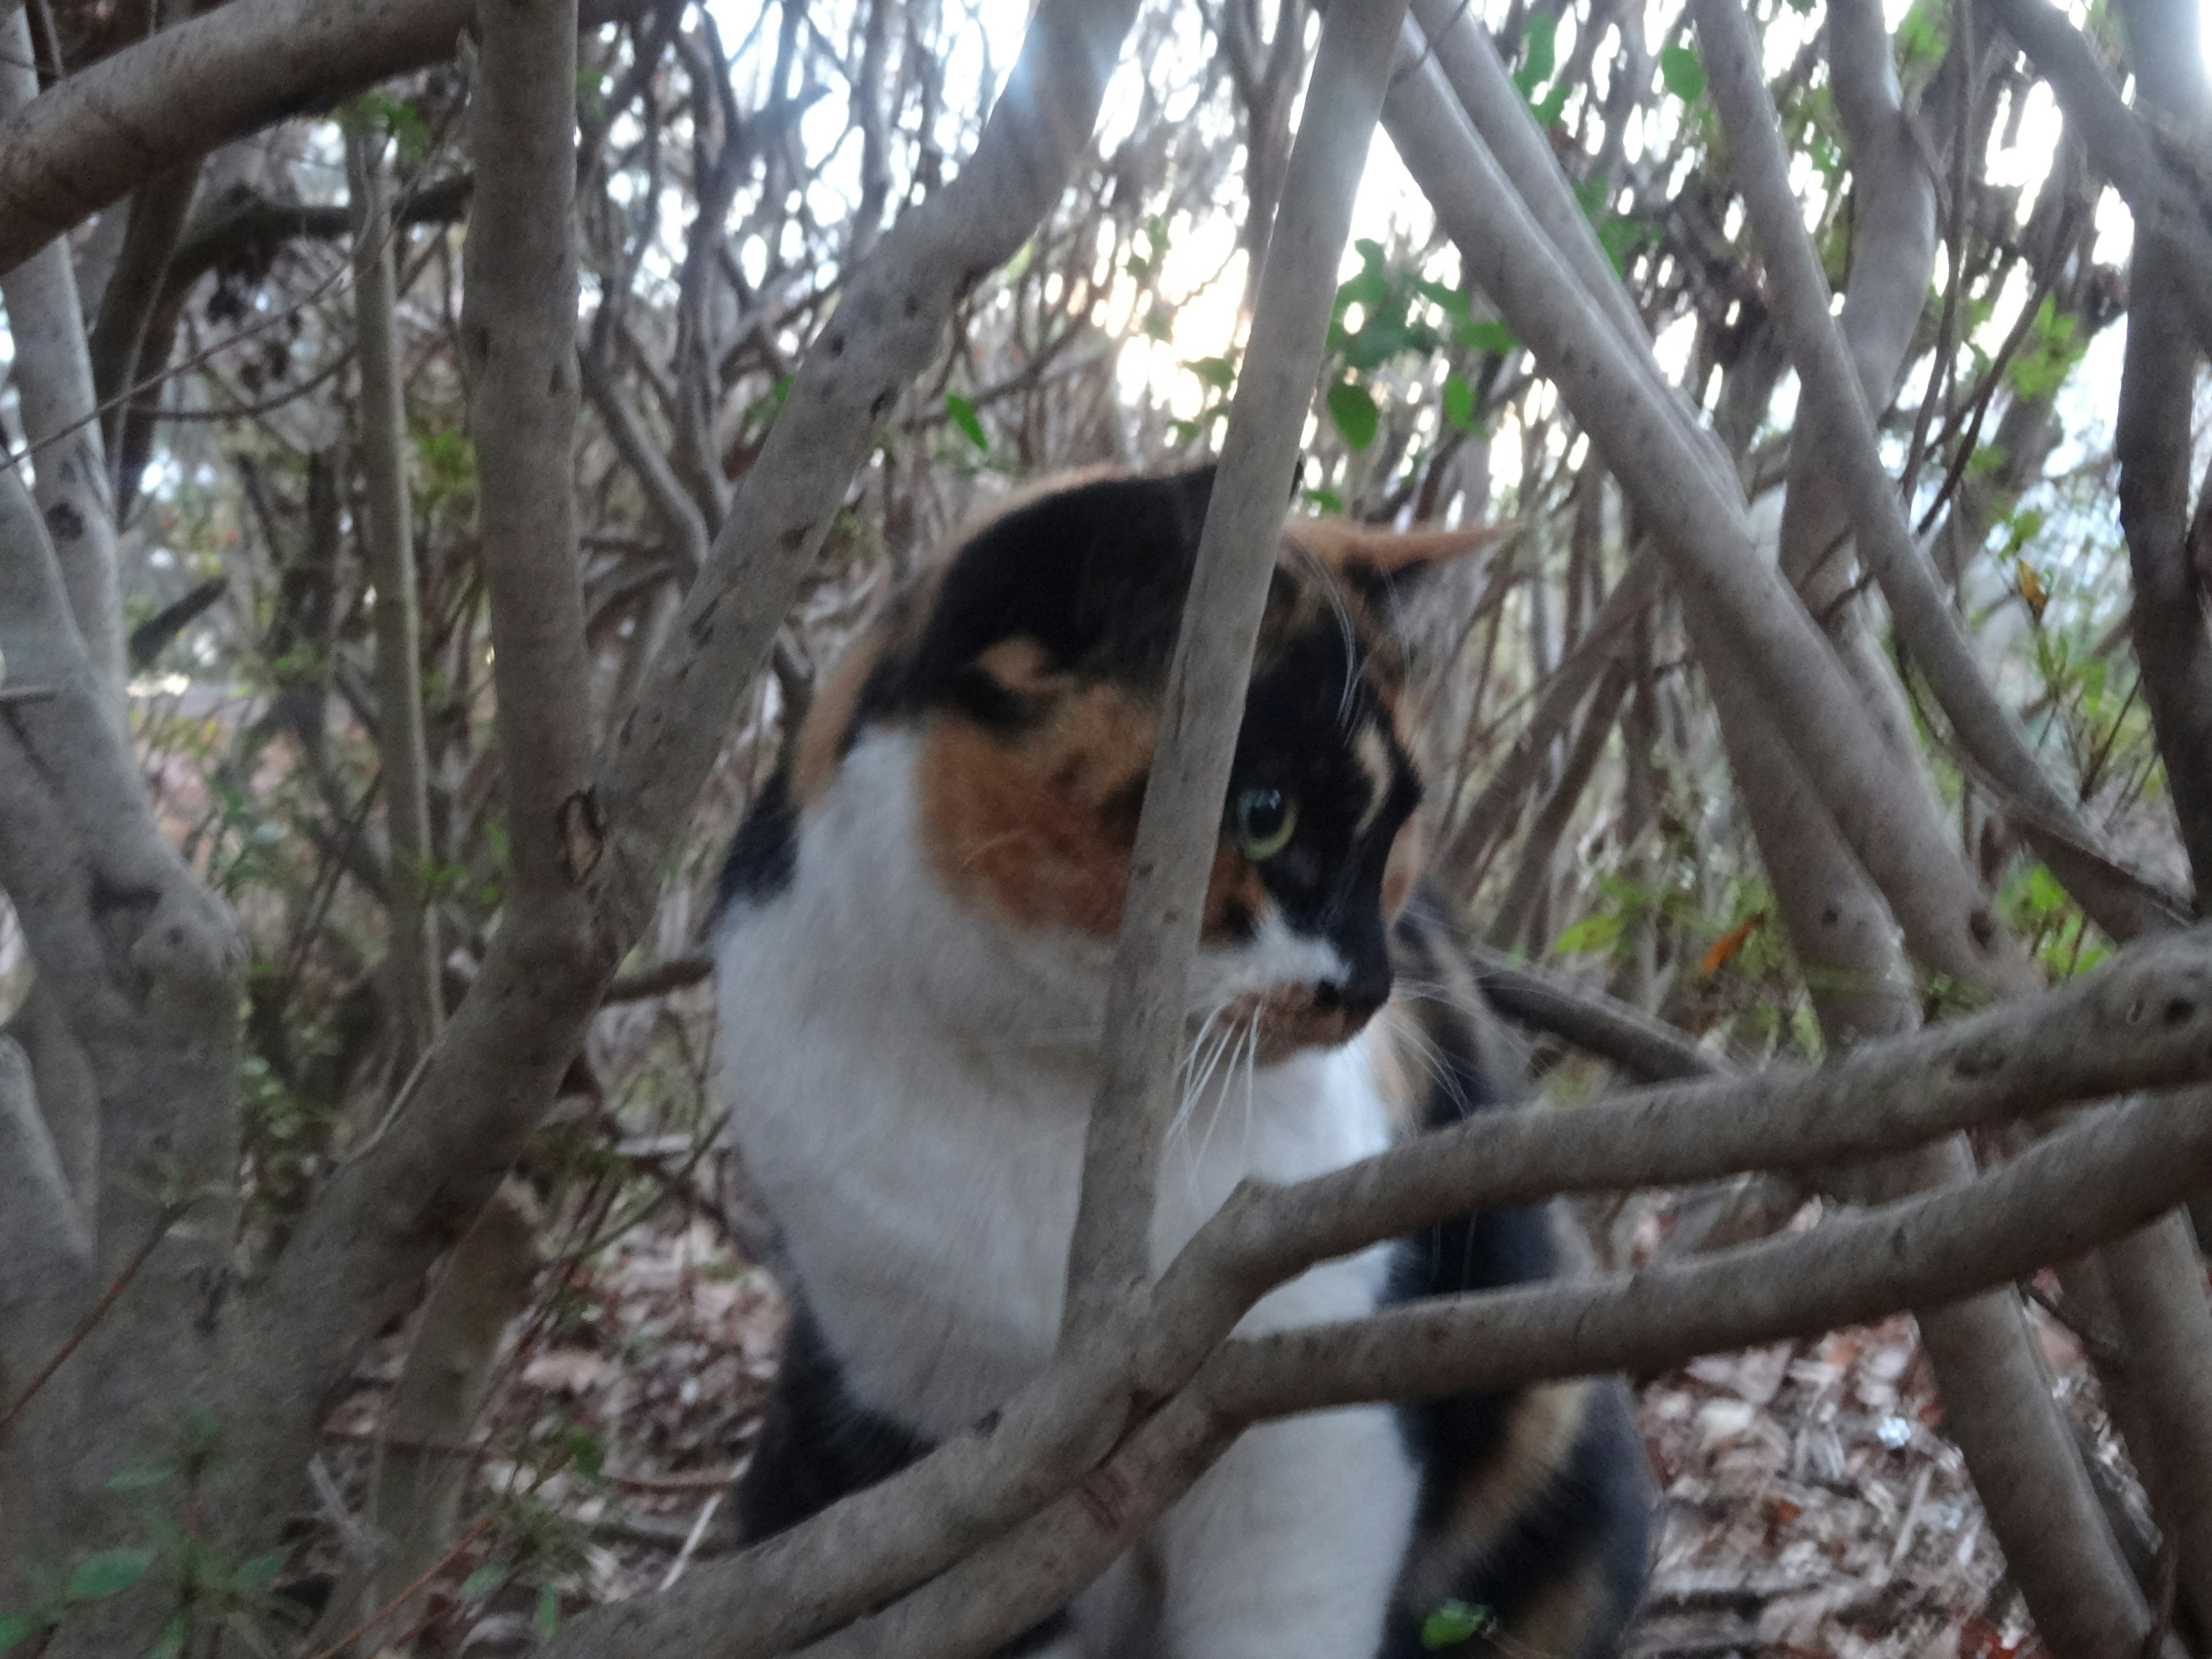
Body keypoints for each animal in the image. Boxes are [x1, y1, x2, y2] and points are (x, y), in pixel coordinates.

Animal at [707, 471, 1645, 1659]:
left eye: (1394, 832)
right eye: (1264, 815)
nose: (1371, 985)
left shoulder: (1301, 1414)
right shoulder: (946, 1429)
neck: (1055, 1090)